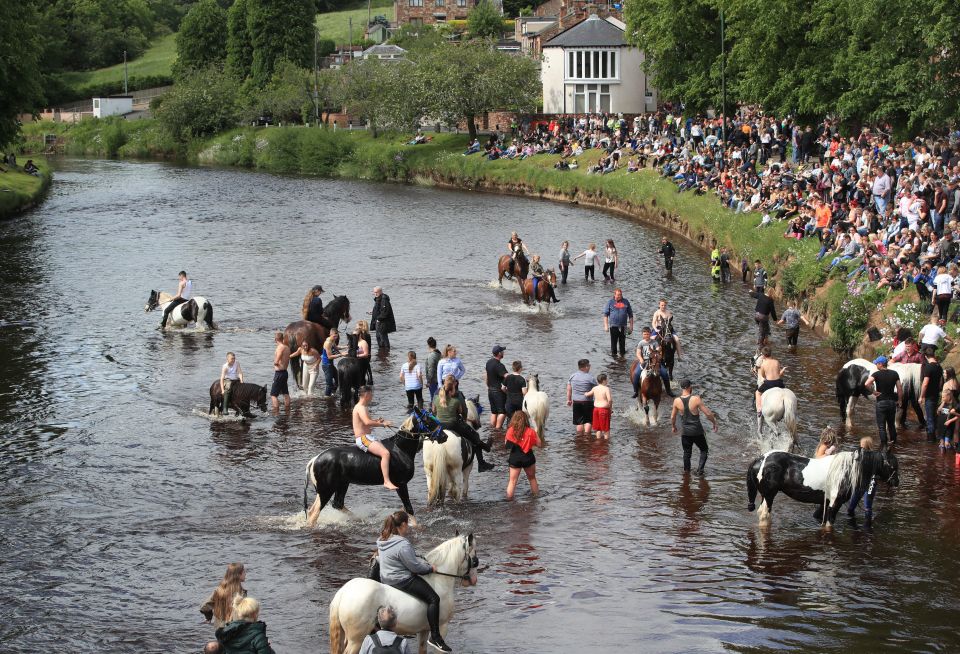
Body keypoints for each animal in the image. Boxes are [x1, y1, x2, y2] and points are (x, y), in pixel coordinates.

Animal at [304, 408, 446, 532]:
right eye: (428, 421)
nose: (444, 436)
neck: (400, 449)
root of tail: (315, 459)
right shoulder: (401, 484)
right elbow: (408, 507)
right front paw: (417, 526)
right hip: (326, 490)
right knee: (314, 513)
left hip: (341, 485)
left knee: (336, 504)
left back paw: (360, 519)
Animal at [330, 532, 480, 654]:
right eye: (475, 557)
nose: (474, 580)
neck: (439, 580)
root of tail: (343, 593)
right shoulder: (442, 626)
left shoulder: (424, 630)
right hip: (356, 640)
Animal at [748, 448, 896, 532]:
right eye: (892, 466)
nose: (896, 482)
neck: (846, 470)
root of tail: (760, 459)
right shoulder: (835, 503)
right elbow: (829, 524)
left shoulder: (825, 502)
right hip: (769, 495)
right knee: (764, 515)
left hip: (765, 496)